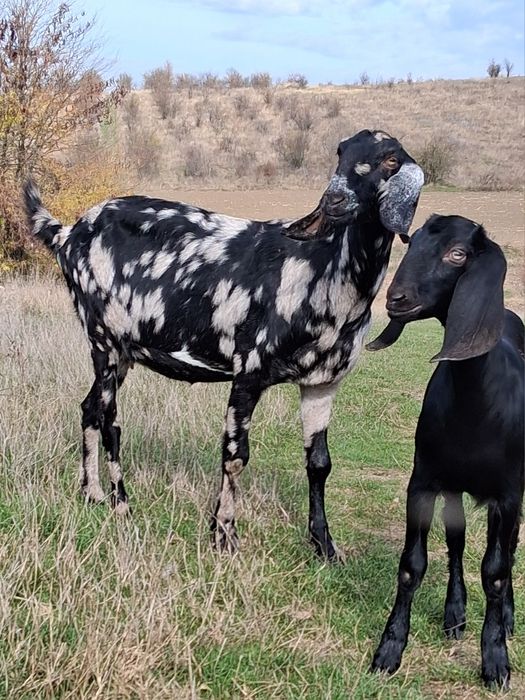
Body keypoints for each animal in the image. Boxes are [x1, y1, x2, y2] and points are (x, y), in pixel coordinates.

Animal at [24, 129, 423, 559]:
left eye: (390, 160)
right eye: (341, 153)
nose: (334, 199)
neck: (326, 269)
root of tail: (67, 233)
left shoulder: (323, 383)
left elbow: (319, 463)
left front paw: (324, 545)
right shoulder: (249, 370)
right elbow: (235, 455)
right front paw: (224, 534)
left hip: (123, 351)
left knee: (90, 409)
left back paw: (93, 493)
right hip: (104, 339)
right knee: (109, 419)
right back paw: (120, 501)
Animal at [368, 214, 524, 688]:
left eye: (458, 254)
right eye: (412, 242)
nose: (396, 299)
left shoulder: (507, 495)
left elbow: (496, 572)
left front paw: (496, 660)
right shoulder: (423, 482)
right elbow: (412, 565)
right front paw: (389, 650)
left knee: (509, 549)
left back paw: (507, 617)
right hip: (453, 489)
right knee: (456, 544)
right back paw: (455, 613)